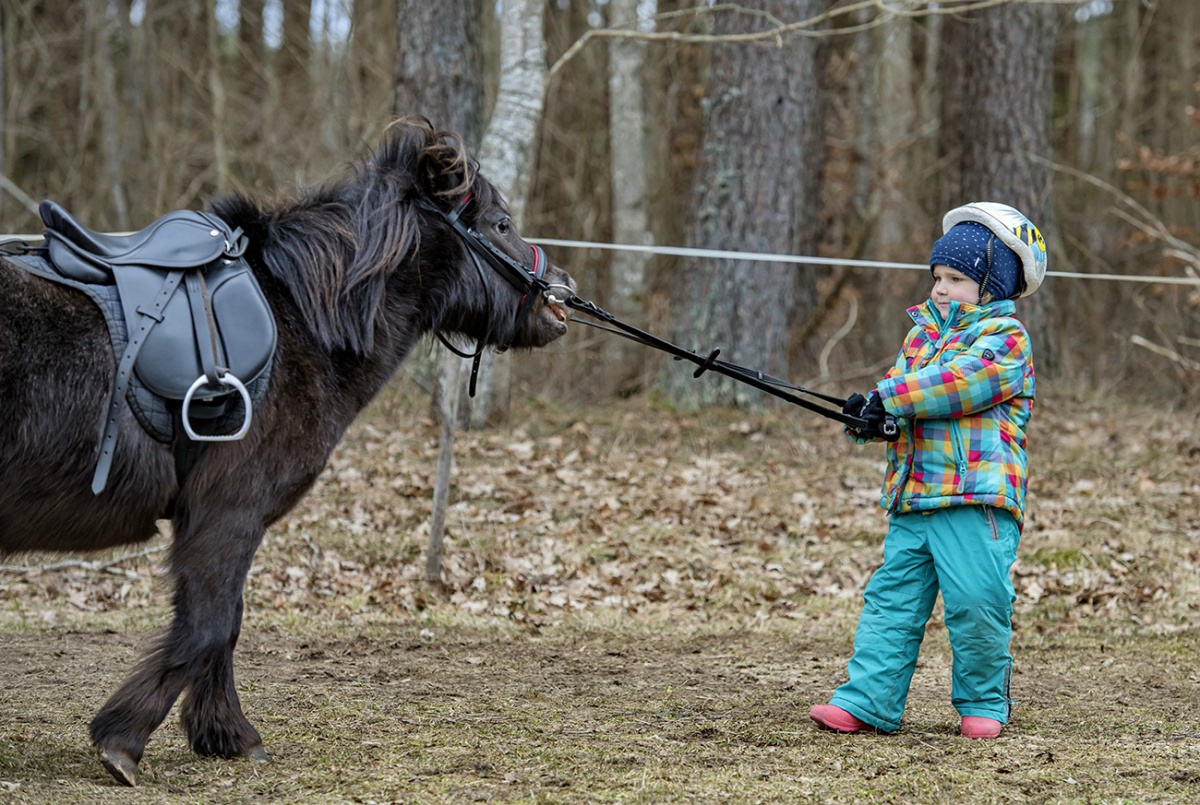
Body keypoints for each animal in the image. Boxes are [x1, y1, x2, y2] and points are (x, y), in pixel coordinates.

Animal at [0, 117, 574, 786]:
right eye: (501, 224)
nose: (564, 291)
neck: (302, 316)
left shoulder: (223, 524)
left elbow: (224, 625)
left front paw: (224, 733)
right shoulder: (227, 517)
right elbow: (208, 626)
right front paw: (122, 740)